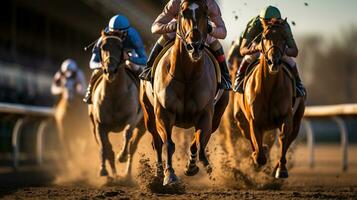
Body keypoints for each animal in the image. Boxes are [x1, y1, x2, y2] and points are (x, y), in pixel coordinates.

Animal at [88, 31, 144, 178]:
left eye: (120, 47)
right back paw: (114, 175)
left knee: (133, 146)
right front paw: (103, 170)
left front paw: (122, 156)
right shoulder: (99, 125)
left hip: (143, 126)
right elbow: (105, 147)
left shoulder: (132, 118)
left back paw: (127, 174)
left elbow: (127, 134)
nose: (110, 70)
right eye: (103, 47)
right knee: (107, 149)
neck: (115, 95)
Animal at [139, 0, 228, 186]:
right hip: (148, 113)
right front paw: (170, 175)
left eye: (206, 13)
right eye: (182, 12)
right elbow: (168, 144)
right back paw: (159, 171)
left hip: (217, 116)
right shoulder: (164, 112)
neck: (187, 76)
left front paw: (191, 166)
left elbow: (197, 141)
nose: (195, 46)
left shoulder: (206, 114)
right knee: (157, 141)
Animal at [232, 19, 304, 178]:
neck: (269, 89)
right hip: (240, 118)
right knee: (248, 135)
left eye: (284, 38)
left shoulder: (286, 117)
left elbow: (283, 138)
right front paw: (257, 156)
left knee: (289, 138)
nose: (274, 62)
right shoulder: (254, 121)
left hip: (297, 119)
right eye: (264, 37)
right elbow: (259, 152)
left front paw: (281, 169)